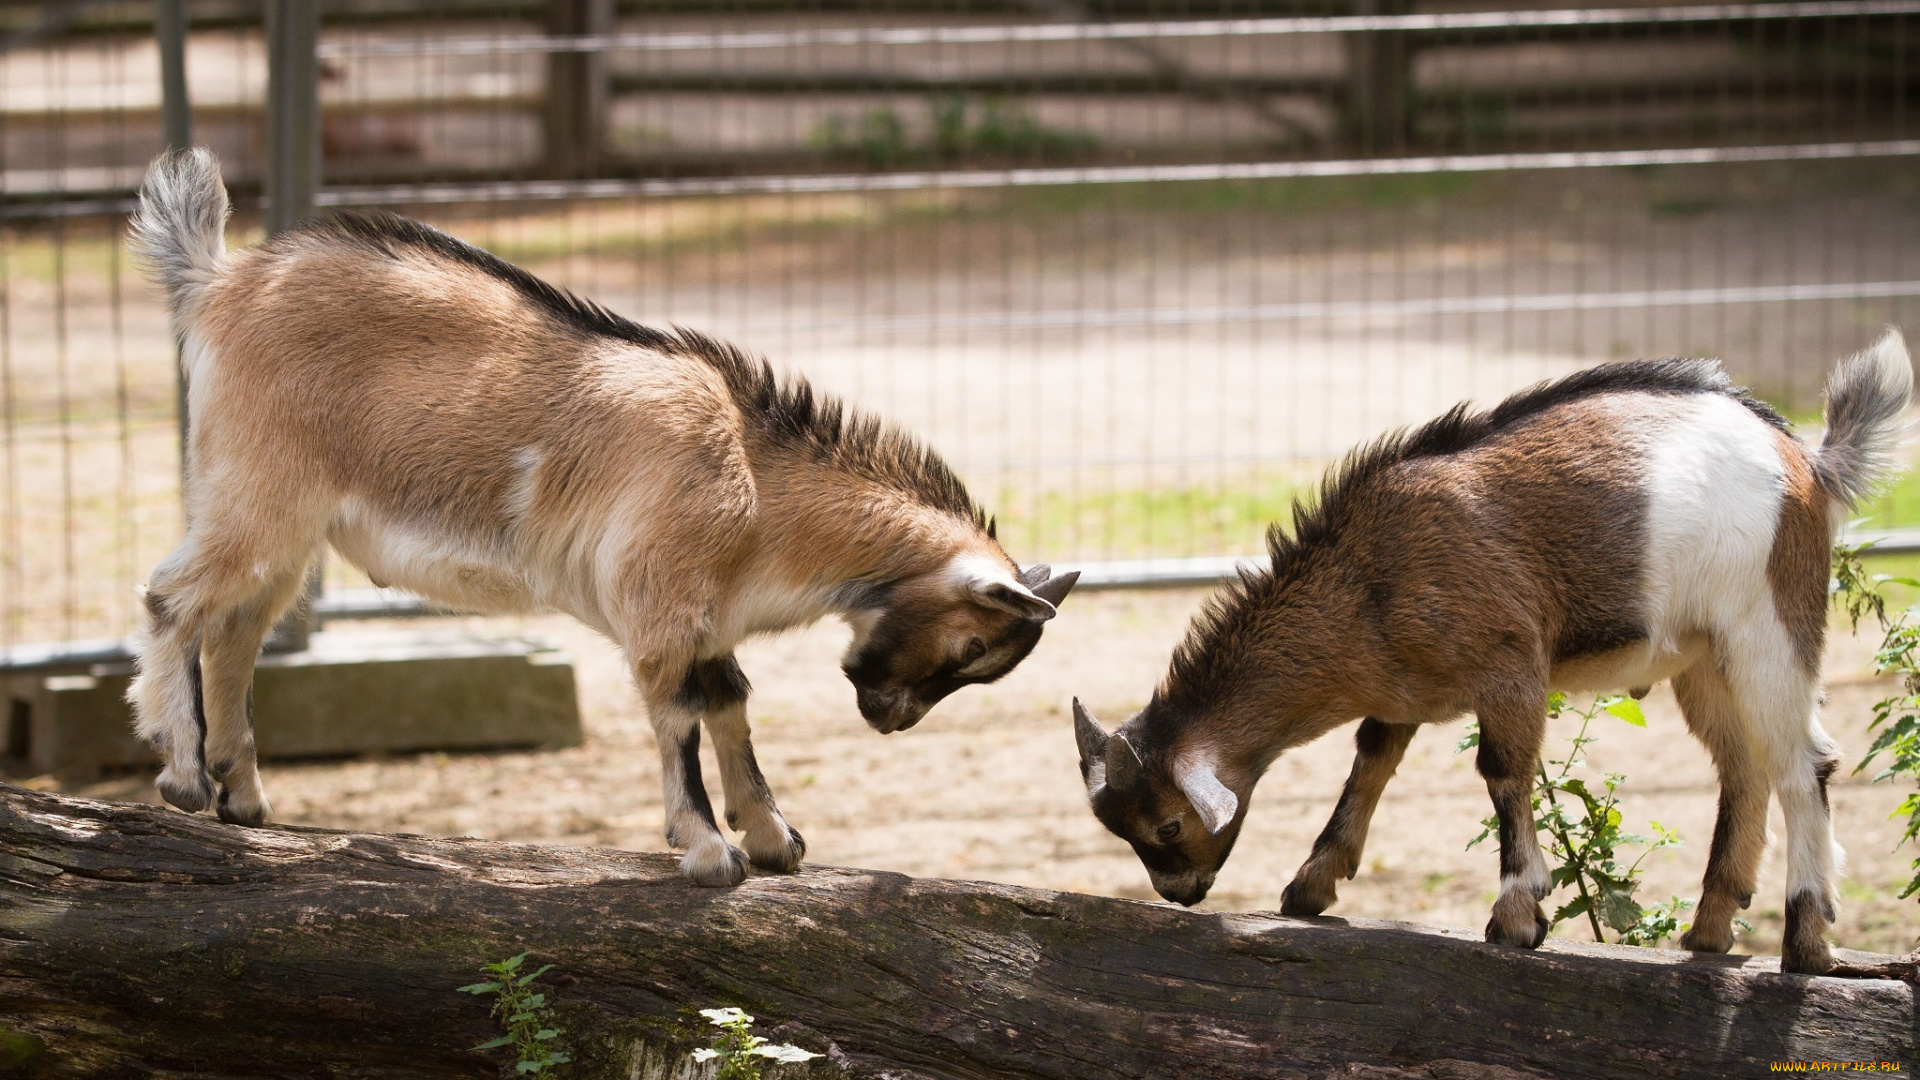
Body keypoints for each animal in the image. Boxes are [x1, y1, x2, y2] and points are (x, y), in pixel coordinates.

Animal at [127, 145, 1075, 883]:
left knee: (236, 631)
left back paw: (244, 797)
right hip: (257, 493)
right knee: (172, 599)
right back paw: (182, 776)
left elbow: (730, 702)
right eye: (971, 647)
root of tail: (219, 282)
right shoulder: (659, 602)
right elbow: (680, 711)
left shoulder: (705, 614)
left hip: (286, 530)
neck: (755, 479)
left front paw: (776, 839)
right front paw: (708, 851)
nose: (887, 717)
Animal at [1075, 332, 1912, 972]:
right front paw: (1312, 886)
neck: (1369, 574)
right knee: (1744, 768)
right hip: (1704, 656)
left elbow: (1503, 771)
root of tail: (1808, 461)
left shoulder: (1511, 662)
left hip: (1769, 621)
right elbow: (1371, 761)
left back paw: (1806, 943)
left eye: (1168, 826)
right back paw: (1707, 932)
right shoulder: (1403, 687)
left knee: (1804, 765)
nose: (1179, 893)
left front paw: (1516, 915)